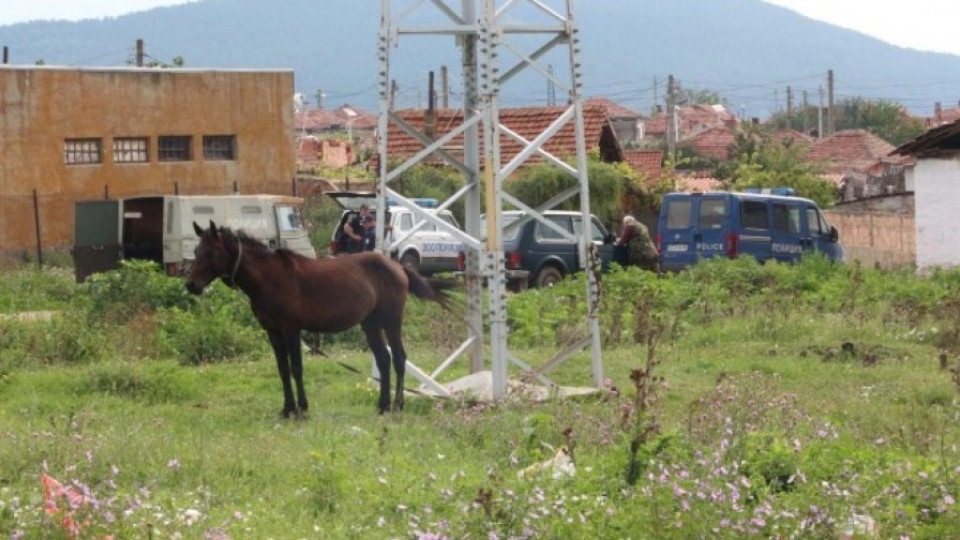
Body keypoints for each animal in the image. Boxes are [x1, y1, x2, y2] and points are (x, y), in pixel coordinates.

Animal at [189, 219, 460, 418]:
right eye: (196, 250)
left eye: (211, 252)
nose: (191, 285)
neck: (270, 278)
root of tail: (398, 267)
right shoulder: (273, 333)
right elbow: (283, 370)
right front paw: (287, 409)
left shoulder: (291, 330)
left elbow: (296, 369)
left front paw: (301, 409)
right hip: (371, 324)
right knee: (384, 359)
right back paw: (382, 406)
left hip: (391, 322)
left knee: (399, 359)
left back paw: (397, 405)